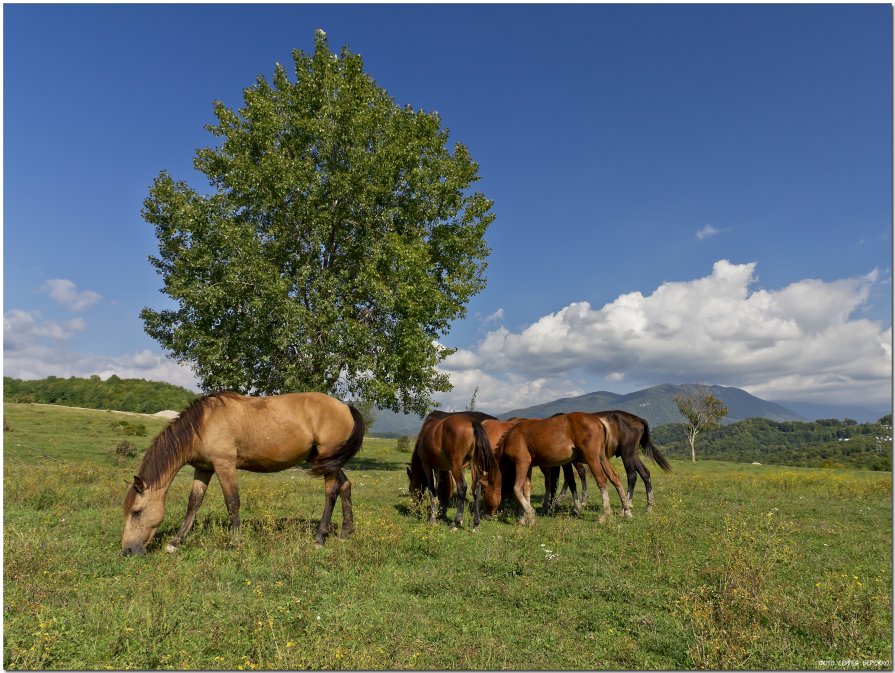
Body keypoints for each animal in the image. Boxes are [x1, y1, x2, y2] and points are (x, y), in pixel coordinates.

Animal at [123, 392, 368, 552]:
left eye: (136, 511)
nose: (127, 551)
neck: (203, 425)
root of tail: (345, 406)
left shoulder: (224, 465)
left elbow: (232, 502)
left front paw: (234, 542)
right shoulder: (203, 469)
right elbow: (193, 503)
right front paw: (175, 542)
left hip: (327, 460)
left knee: (331, 493)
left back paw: (319, 538)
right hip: (329, 461)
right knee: (345, 486)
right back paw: (345, 533)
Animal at [494, 410, 632, 524]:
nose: (490, 513)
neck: (510, 438)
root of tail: (598, 421)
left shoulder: (522, 463)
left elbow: (517, 489)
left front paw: (530, 514)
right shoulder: (528, 467)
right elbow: (526, 490)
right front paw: (524, 518)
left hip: (592, 458)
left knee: (601, 480)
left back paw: (606, 514)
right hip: (602, 457)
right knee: (614, 477)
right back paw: (627, 511)